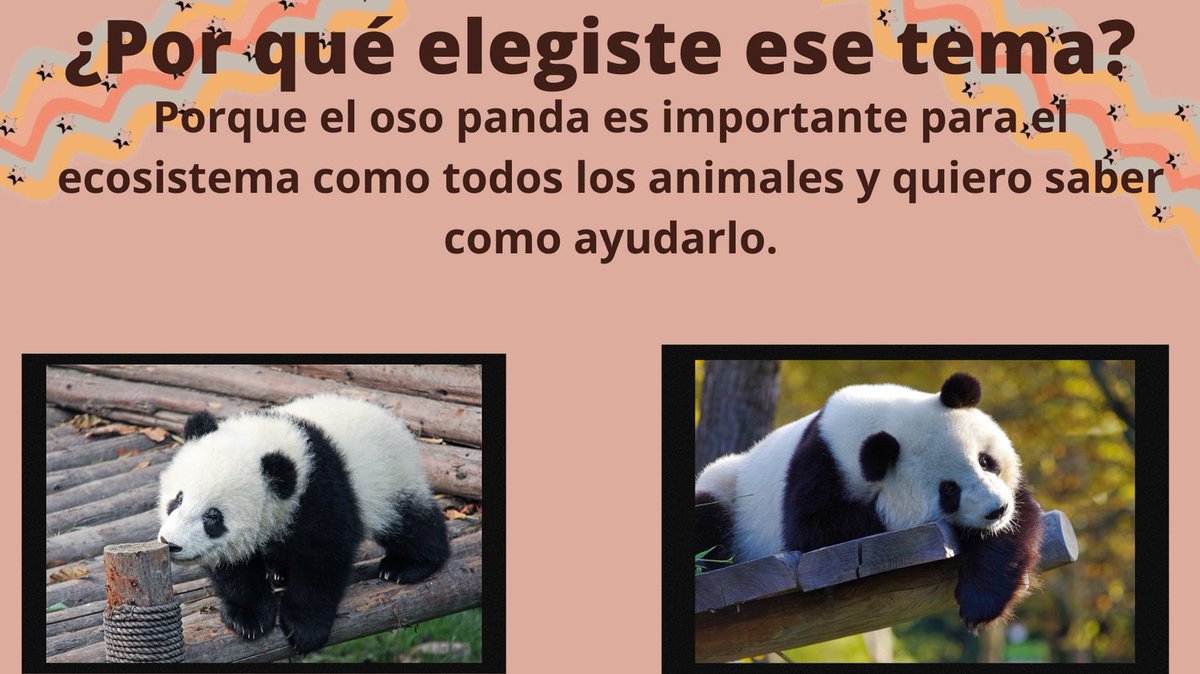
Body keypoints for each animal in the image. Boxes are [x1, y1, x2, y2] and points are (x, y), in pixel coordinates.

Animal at [156, 394, 450, 653]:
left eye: (213, 517)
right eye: (178, 499)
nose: (171, 543)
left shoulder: (321, 489)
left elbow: (323, 558)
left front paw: (304, 628)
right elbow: (235, 565)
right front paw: (248, 616)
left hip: (390, 478)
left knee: (409, 522)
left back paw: (407, 565)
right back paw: (279, 570)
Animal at [695, 373, 1043, 628]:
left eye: (985, 460)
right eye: (949, 490)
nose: (996, 510)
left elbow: (1018, 521)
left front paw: (980, 603)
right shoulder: (816, 470)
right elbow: (815, 531)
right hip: (726, 487)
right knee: (707, 517)